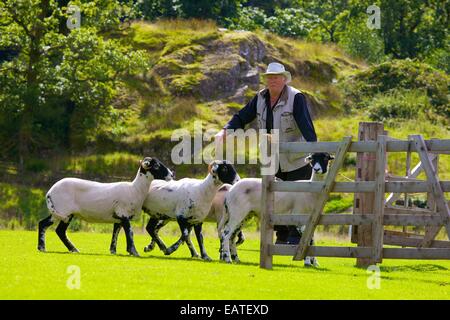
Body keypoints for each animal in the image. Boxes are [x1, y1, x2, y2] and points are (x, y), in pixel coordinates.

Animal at [37, 156, 174, 256]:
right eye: (156, 165)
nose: (172, 174)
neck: (135, 189)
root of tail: (50, 191)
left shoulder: (119, 217)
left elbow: (115, 234)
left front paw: (113, 251)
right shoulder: (124, 214)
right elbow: (130, 233)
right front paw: (134, 252)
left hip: (66, 214)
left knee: (56, 229)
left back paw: (73, 249)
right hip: (62, 211)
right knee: (47, 225)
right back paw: (42, 248)